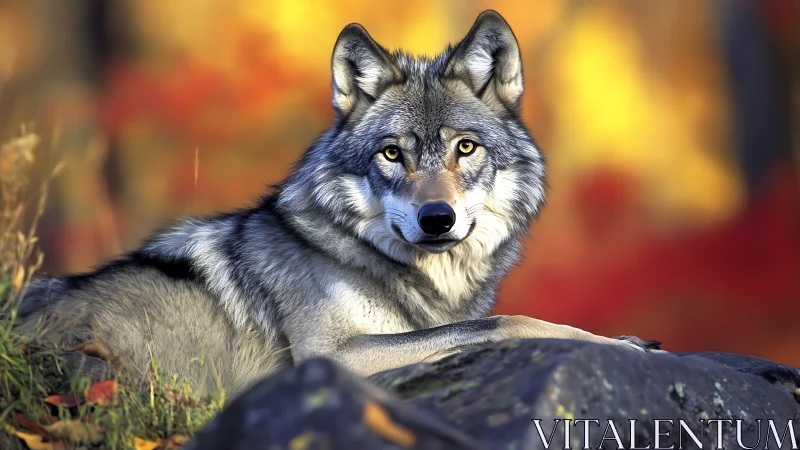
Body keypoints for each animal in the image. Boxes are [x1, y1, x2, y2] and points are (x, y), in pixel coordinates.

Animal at [18, 11, 660, 395]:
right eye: (392, 153)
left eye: (465, 147)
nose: (437, 219)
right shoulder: (333, 357)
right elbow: (505, 322)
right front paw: (620, 344)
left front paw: (625, 342)